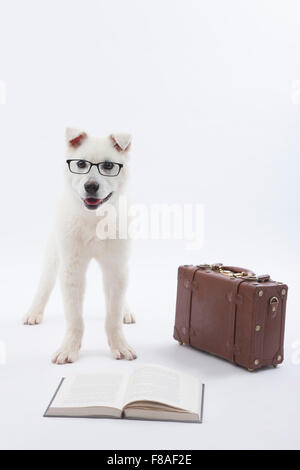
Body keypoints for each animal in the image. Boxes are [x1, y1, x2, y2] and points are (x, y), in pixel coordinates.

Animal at [23, 127, 136, 364]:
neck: (94, 220)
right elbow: (75, 318)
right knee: (44, 285)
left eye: (108, 166)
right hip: (53, 255)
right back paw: (34, 312)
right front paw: (69, 349)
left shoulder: (115, 266)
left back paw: (126, 309)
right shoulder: (71, 269)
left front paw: (120, 345)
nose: (90, 186)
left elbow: (113, 315)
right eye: (81, 164)